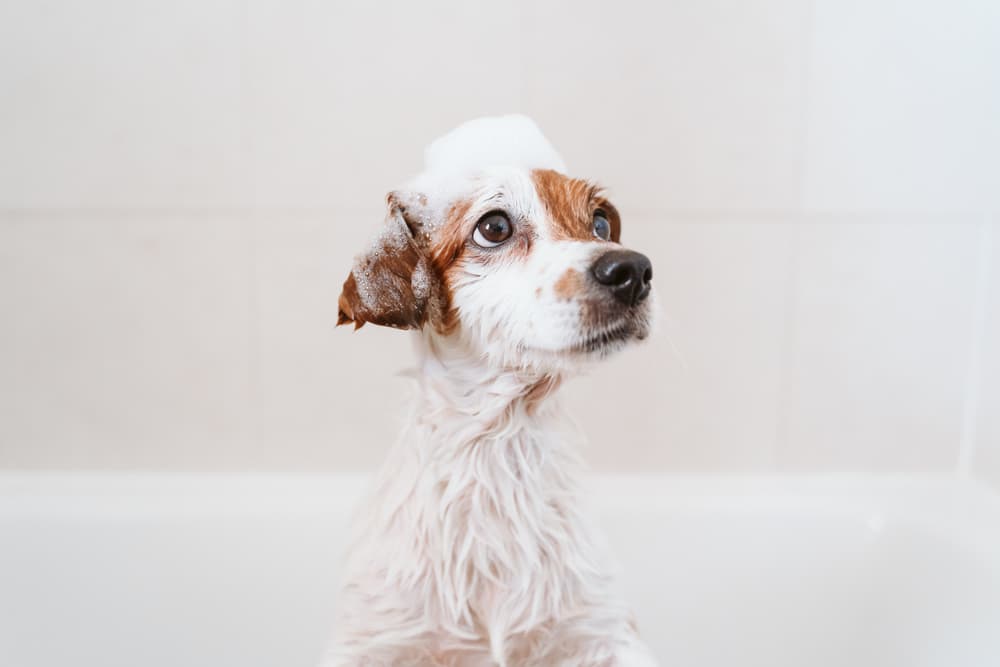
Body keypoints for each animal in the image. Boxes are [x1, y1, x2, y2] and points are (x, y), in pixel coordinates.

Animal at [324, 117, 660, 664]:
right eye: (495, 227)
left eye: (600, 225)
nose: (632, 271)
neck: (497, 444)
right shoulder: (379, 639)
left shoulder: (602, 634)